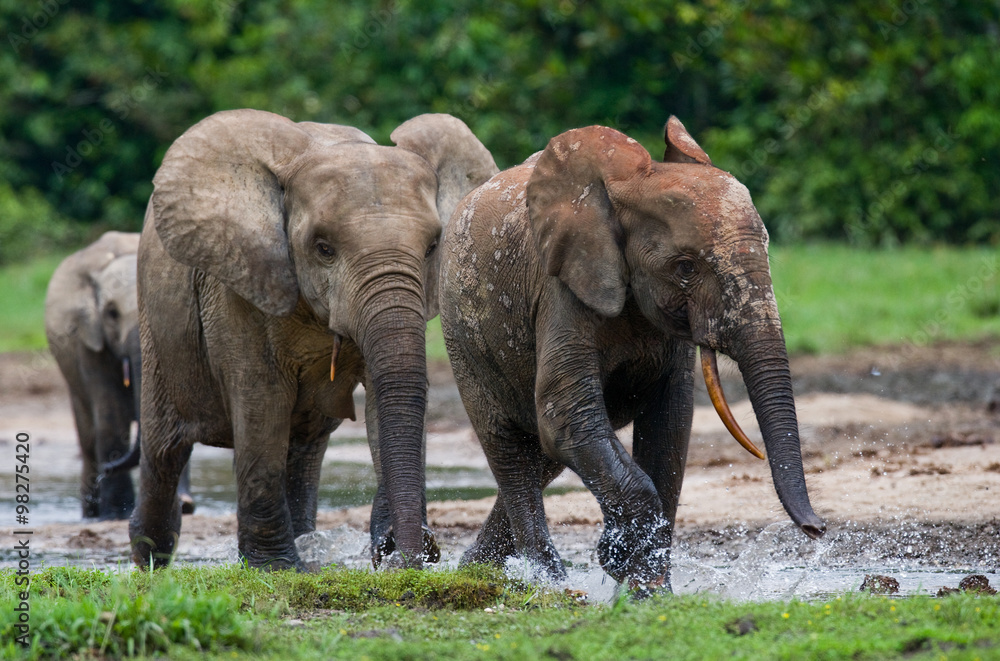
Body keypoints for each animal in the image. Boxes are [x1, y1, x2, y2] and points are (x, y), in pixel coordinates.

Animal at [45, 232, 193, 520]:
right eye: (111, 314)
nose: (108, 468)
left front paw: (182, 505)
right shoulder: (89, 340)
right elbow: (111, 417)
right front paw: (115, 514)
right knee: (89, 439)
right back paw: (92, 513)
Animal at [130, 109, 498, 571]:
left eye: (433, 246)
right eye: (323, 248)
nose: (416, 552)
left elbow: (384, 399)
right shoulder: (239, 285)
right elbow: (262, 404)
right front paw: (274, 568)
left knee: (302, 452)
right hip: (156, 328)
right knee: (164, 450)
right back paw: (151, 560)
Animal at [439, 117, 825, 592]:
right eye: (685, 267)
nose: (817, 529)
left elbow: (669, 422)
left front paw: (649, 589)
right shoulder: (562, 289)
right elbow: (564, 415)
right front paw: (621, 560)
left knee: (542, 455)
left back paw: (475, 568)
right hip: (462, 338)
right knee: (510, 447)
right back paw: (545, 580)